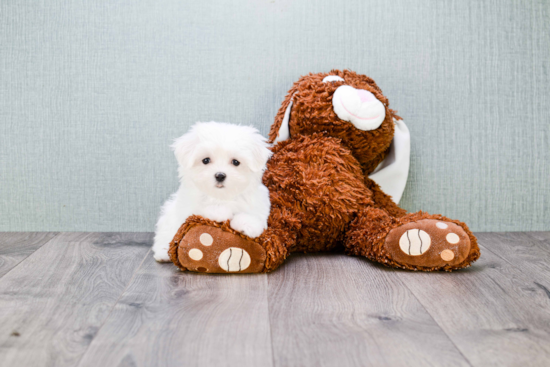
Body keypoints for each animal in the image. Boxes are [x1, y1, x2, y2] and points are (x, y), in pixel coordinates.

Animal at [152, 122, 272, 264]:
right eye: (205, 160)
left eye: (236, 162)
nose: (220, 175)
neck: (222, 196)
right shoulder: (189, 207)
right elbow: (205, 209)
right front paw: (220, 212)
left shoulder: (258, 203)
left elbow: (254, 216)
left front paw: (247, 225)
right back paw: (163, 253)